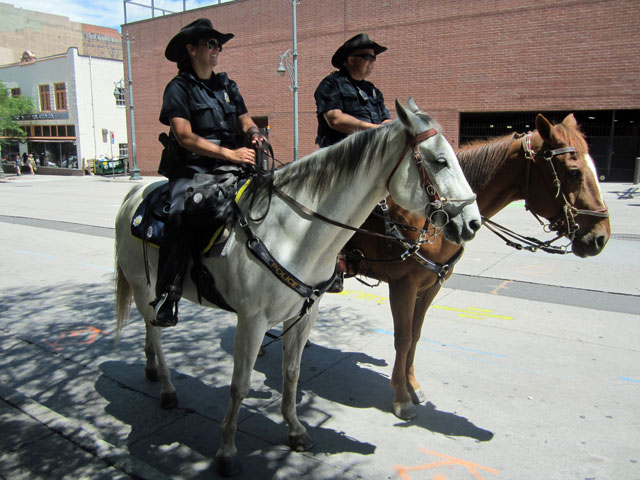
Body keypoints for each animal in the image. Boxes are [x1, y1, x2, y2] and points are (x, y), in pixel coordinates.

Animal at [114, 98, 480, 476]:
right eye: (440, 161)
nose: (472, 222)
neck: (294, 231)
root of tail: (135, 194)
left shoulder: (303, 316)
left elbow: (291, 373)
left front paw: (295, 430)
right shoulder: (252, 321)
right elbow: (239, 385)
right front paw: (227, 451)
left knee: (150, 331)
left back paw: (151, 370)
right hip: (142, 287)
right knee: (156, 332)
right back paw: (167, 388)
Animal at [344, 112, 608, 420]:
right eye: (573, 172)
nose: (600, 237)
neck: (428, 214)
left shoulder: (431, 286)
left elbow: (416, 336)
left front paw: (412, 386)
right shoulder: (403, 286)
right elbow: (404, 338)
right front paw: (401, 397)